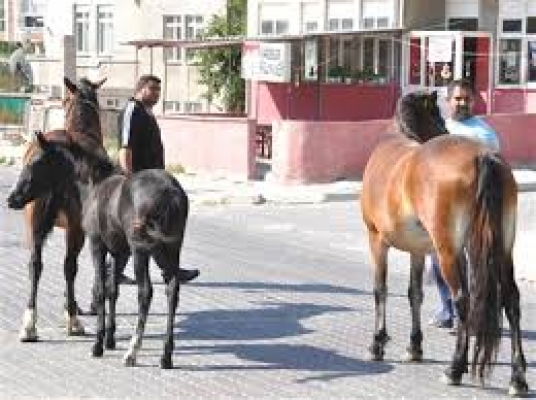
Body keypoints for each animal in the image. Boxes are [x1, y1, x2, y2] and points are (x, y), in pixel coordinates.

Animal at [13, 76, 105, 340]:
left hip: (35, 218)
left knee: (36, 264)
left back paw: (30, 323)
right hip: (74, 226)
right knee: (68, 266)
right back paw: (72, 318)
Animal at [360, 91, 528, 396]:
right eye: (439, 117)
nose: (444, 130)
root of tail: (482, 155)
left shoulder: (376, 239)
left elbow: (380, 290)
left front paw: (377, 343)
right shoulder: (418, 251)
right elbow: (415, 293)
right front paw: (414, 347)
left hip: (448, 252)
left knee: (462, 298)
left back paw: (455, 369)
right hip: (500, 250)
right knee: (510, 299)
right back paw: (517, 379)